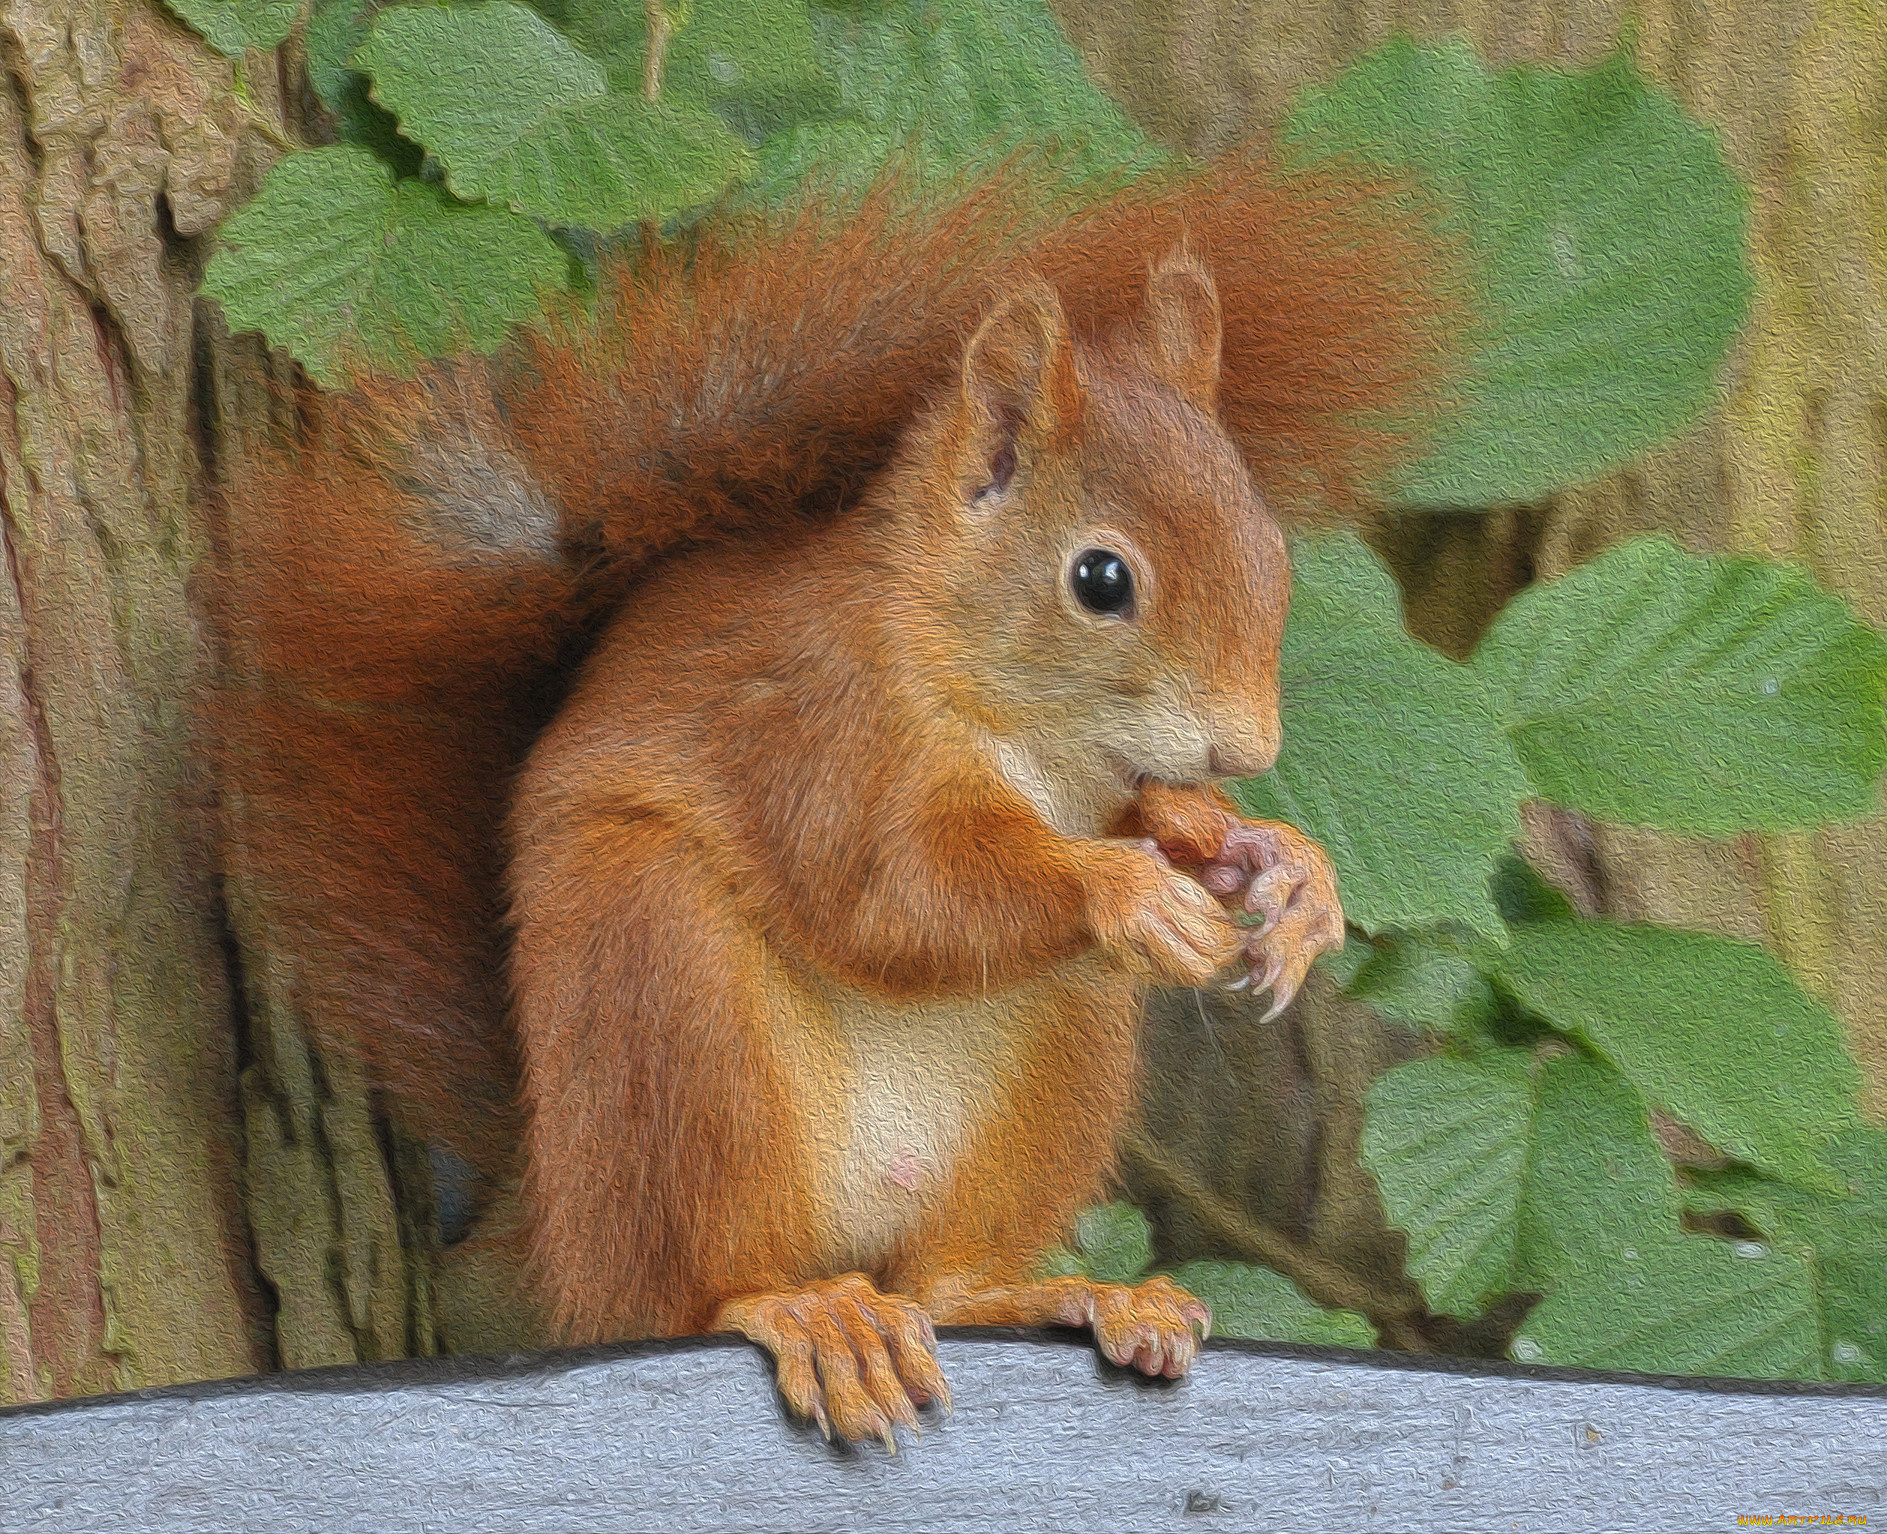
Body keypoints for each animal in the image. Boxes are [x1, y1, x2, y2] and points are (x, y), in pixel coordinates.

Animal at [217, 155, 1456, 1449]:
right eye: (1101, 578)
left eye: (1271, 546)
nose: (1246, 744)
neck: (1029, 735)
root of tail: (553, 1215)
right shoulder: (820, 736)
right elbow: (895, 898)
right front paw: (1126, 889)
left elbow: (1152, 829)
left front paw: (1281, 867)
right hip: (665, 992)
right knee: (699, 1286)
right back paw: (806, 1311)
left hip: (1054, 1061)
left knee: (946, 1279)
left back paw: (1066, 1291)